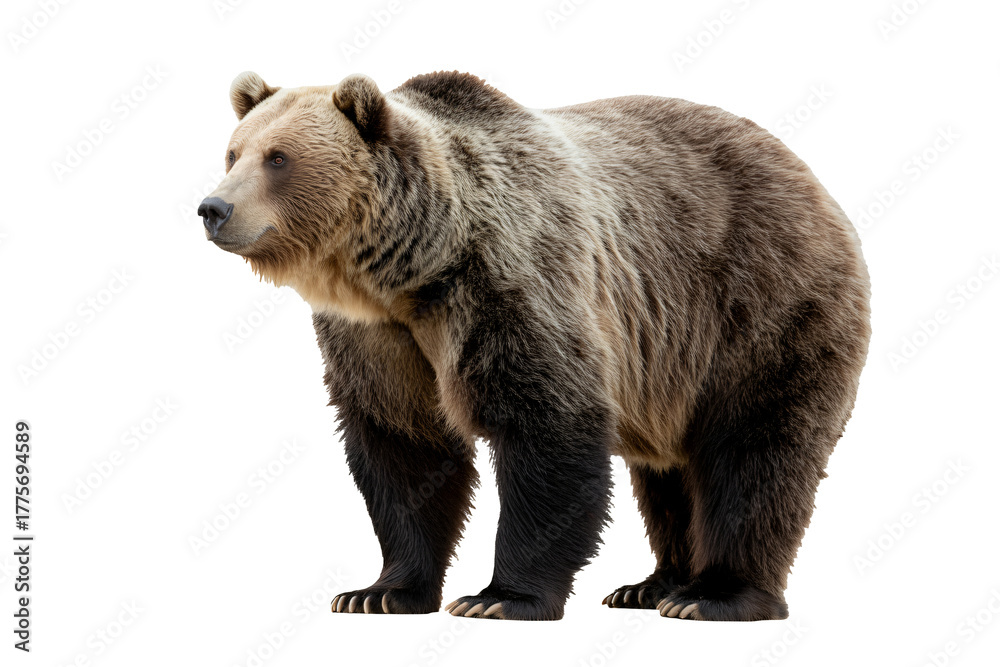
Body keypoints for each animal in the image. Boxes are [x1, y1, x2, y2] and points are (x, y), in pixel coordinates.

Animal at [198, 70, 871, 622]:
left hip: (759, 307)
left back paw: (713, 595)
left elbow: (547, 427)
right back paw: (652, 586)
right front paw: (378, 592)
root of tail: (811, 177)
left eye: (278, 157)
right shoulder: (379, 339)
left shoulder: (512, 284)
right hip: (671, 366)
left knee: (755, 450)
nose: (213, 207)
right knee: (667, 471)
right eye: (232, 151)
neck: (411, 273)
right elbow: (403, 446)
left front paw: (499, 597)